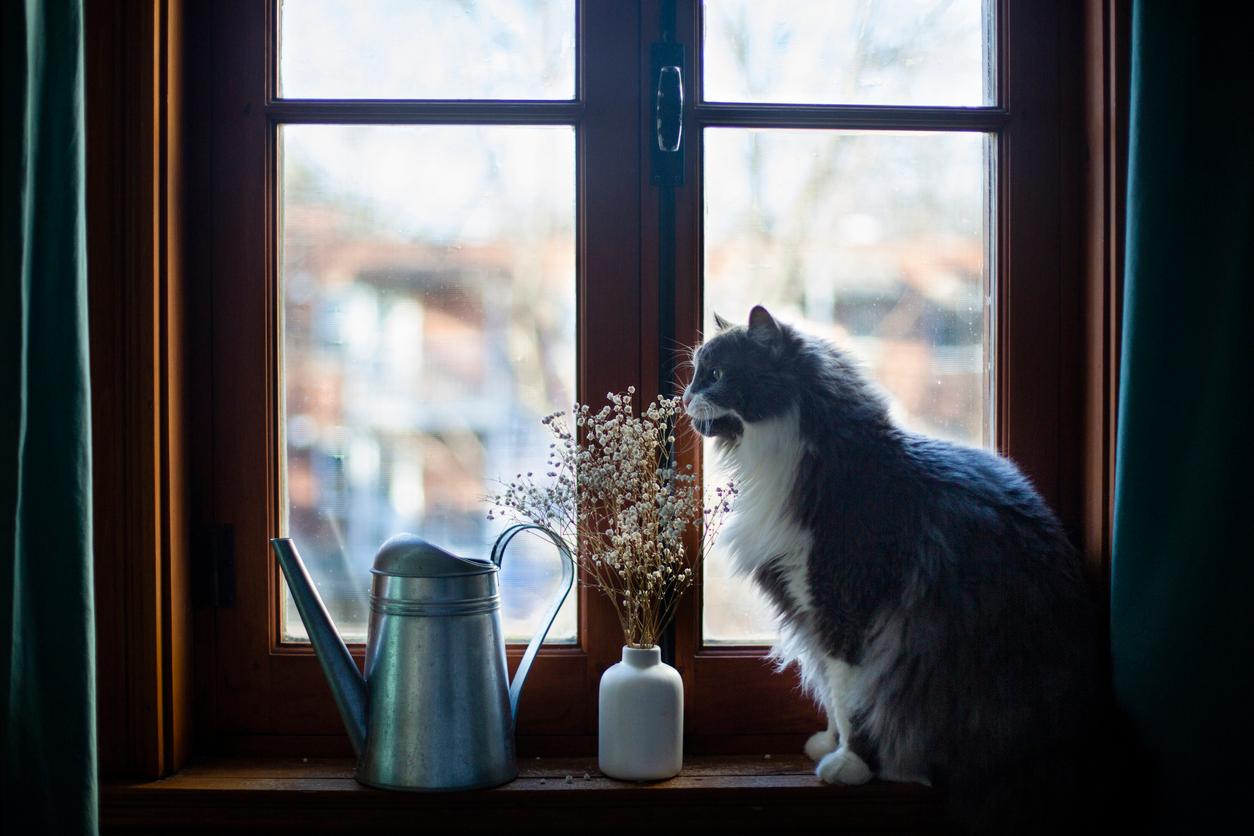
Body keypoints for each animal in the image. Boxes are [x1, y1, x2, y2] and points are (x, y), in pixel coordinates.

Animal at [682, 305, 1103, 832]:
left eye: (716, 375)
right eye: (695, 372)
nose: (684, 396)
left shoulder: (844, 604)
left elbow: (852, 699)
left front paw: (851, 765)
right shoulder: (811, 610)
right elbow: (832, 694)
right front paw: (829, 744)